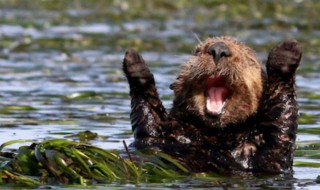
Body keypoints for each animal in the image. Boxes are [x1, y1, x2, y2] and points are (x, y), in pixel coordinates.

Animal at [121, 36, 302, 174]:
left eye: (249, 59)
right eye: (197, 51)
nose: (219, 49)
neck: (213, 136)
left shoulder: (266, 154)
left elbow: (281, 123)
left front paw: (287, 51)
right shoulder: (157, 134)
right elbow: (148, 116)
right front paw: (134, 62)